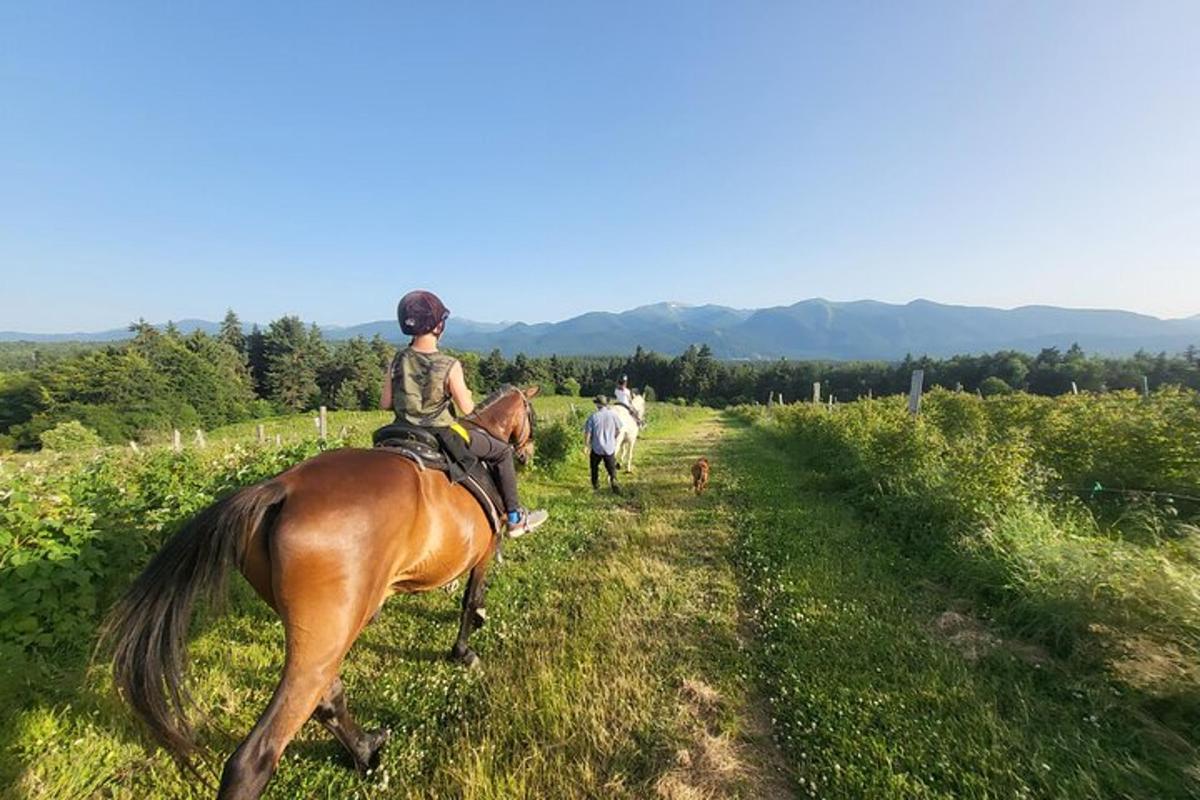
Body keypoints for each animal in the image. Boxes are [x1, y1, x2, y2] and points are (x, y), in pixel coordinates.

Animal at [100, 386, 542, 800]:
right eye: (530, 414)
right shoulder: (483, 552)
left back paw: (366, 751)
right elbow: (470, 600)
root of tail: (280, 489)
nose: (526, 453)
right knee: (258, 753)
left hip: (320, 633)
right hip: (328, 634)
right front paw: (464, 651)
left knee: (327, 696)